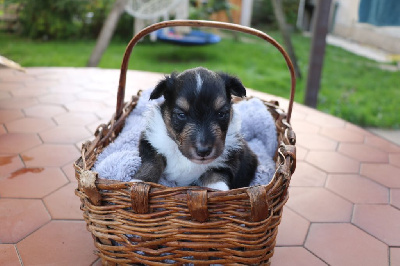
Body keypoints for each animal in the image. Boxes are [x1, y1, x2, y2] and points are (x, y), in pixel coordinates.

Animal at [130, 67, 258, 190]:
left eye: (221, 114)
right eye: (181, 114)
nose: (203, 151)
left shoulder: (230, 158)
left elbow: (215, 174)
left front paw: (218, 190)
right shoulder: (151, 141)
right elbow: (152, 162)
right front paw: (139, 182)